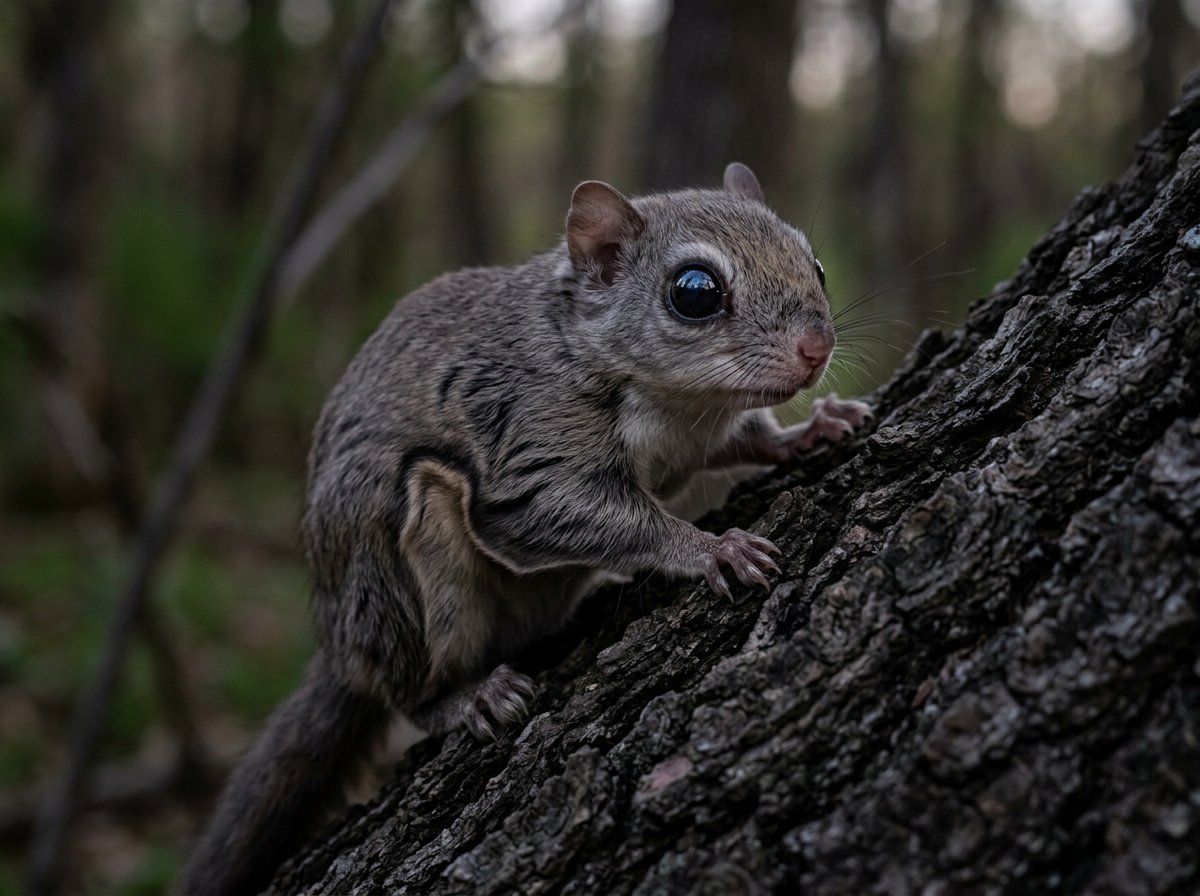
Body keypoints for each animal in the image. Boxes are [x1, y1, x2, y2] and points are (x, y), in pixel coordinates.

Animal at [181, 162, 871, 895]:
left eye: (814, 263)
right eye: (695, 292)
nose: (816, 348)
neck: (680, 404)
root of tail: (341, 645)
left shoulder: (703, 435)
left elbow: (753, 439)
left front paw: (810, 429)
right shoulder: (532, 444)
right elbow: (597, 515)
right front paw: (712, 549)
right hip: (394, 564)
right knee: (407, 690)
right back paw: (466, 699)